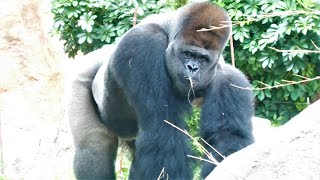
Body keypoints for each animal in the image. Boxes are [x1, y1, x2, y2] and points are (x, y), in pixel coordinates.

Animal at [66, 1, 254, 180]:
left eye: (203, 59)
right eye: (187, 53)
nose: (192, 68)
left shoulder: (230, 80)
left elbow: (227, 138)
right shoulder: (145, 44)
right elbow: (163, 130)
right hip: (81, 75)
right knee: (93, 147)